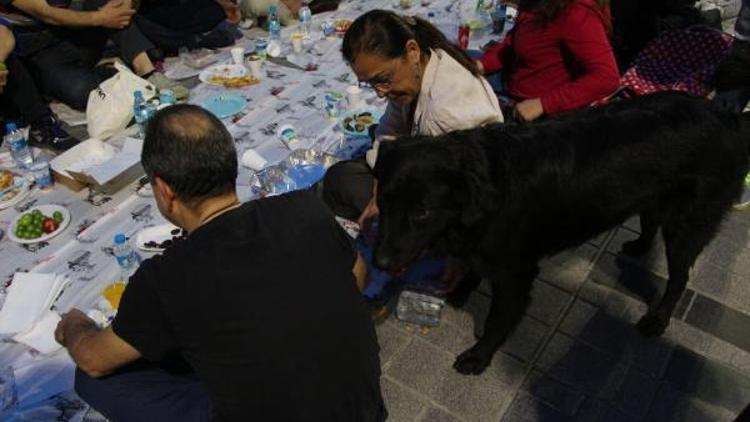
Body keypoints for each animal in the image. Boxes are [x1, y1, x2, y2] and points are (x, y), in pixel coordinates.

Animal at [374, 93, 750, 376]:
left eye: (422, 212)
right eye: (383, 200)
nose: (379, 262)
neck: (488, 185)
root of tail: (728, 117)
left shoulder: (517, 273)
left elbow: (498, 320)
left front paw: (479, 356)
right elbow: (474, 267)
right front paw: (462, 289)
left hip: (688, 224)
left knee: (680, 278)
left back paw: (657, 318)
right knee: (650, 223)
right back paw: (639, 246)